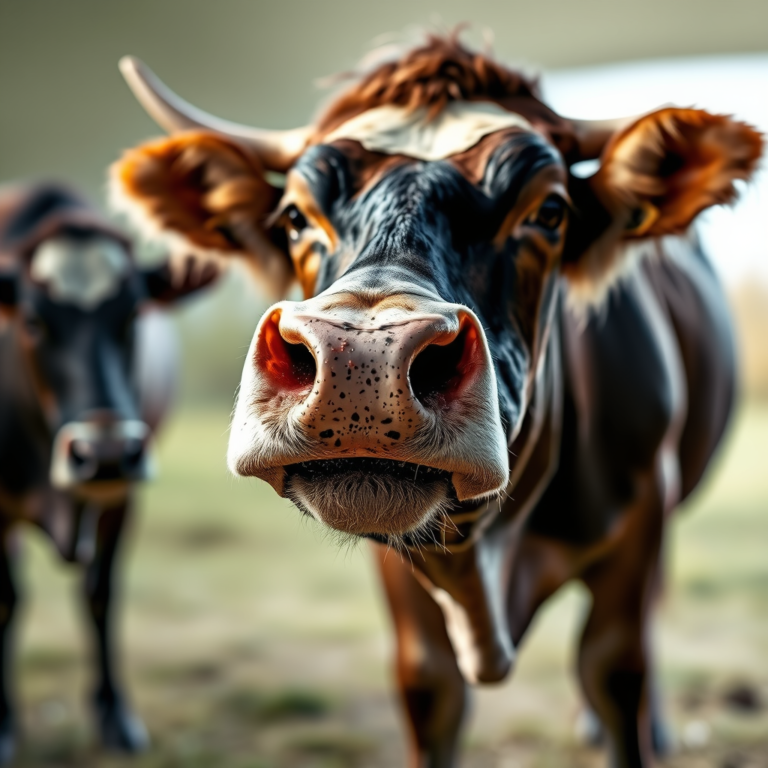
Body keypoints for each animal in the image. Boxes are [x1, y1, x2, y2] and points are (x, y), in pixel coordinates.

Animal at [0, 182, 218, 763]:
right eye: (33, 322)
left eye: (133, 315)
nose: (106, 453)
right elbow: (6, 599)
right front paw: (3, 722)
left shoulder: (122, 499)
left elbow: (100, 593)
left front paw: (114, 714)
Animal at [109, 35, 763, 768]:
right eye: (295, 217)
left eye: (550, 212)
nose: (361, 360)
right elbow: (429, 684)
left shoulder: (644, 511)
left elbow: (616, 666)